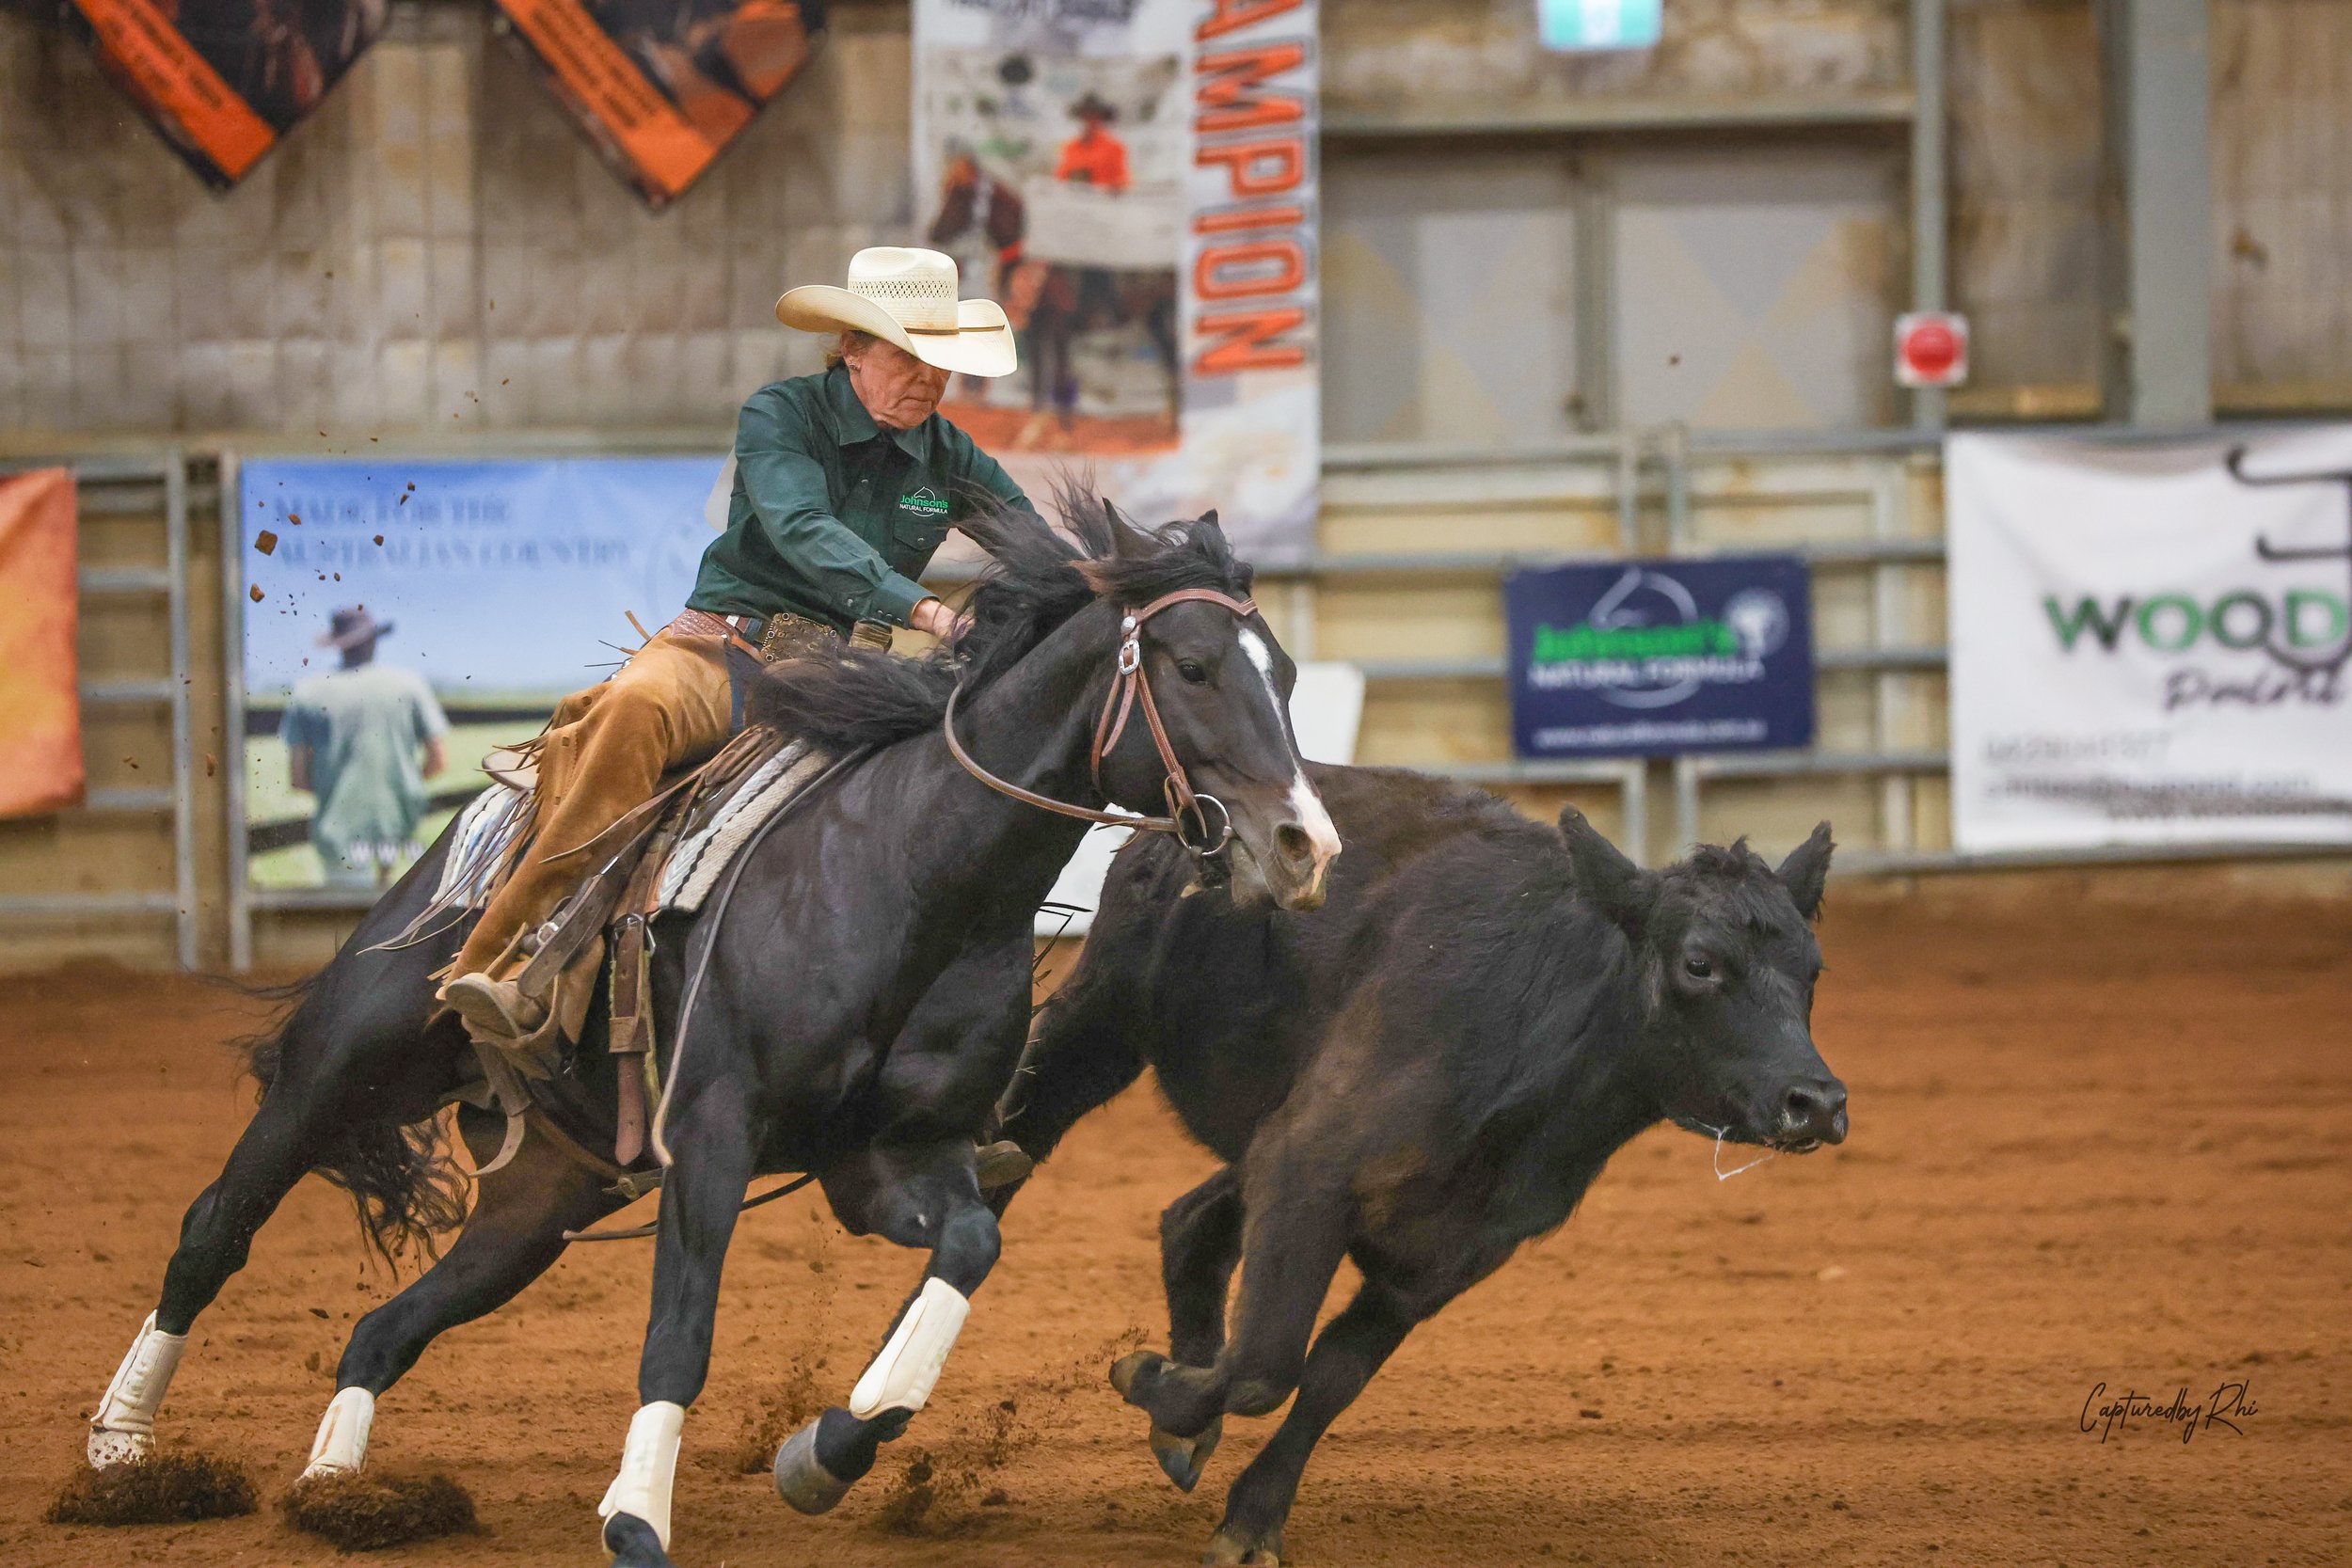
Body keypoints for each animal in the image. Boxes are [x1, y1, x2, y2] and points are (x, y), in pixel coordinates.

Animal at [80, 498, 1341, 1568]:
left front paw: (821, 1454)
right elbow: (680, 1330)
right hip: (343, 1067)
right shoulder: (712, 1135)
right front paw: (636, 1516)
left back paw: (339, 1489)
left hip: (547, 1197)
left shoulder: (888, 1157)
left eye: (1283, 674)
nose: (1303, 845)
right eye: (1191, 666)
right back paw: (121, 1447)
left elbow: (968, 1250)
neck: (913, 872)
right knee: (213, 1229)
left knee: (384, 1328)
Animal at [992, 764, 1848, 1565]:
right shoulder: (1309, 1171)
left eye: (1813, 969)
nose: (1817, 1100)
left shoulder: (1443, 1258)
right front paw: (1151, 1380)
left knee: (1193, 1222)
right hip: (1102, 1024)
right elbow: (1266, 1363)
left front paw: (1251, 1515)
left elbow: (1329, 1377)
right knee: (1021, 1135)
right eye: (1699, 963)